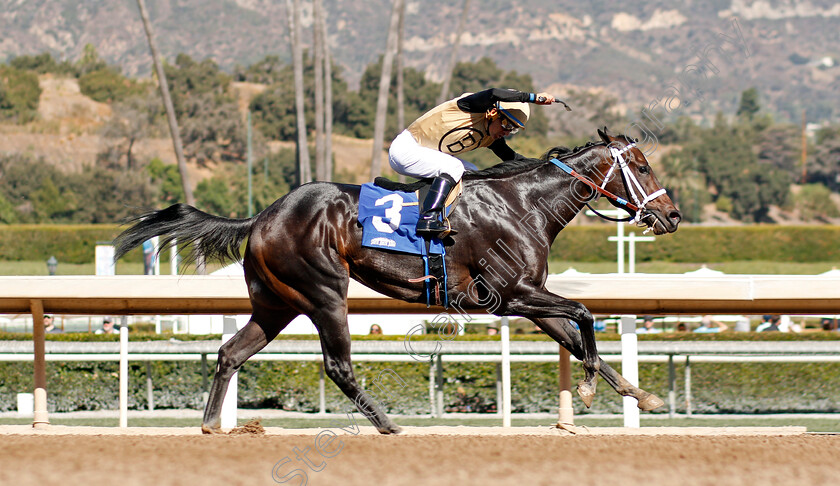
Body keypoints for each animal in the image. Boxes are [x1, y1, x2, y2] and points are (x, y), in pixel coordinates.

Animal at [115, 128, 684, 432]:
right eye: (640, 165)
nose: (673, 216)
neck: (524, 204)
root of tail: (261, 216)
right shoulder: (512, 296)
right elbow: (585, 315)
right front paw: (588, 388)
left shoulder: (528, 299)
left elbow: (580, 338)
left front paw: (641, 396)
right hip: (325, 292)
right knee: (337, 365)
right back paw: (387, 422)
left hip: (276, 303)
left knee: (230, 352)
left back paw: (213, 423)